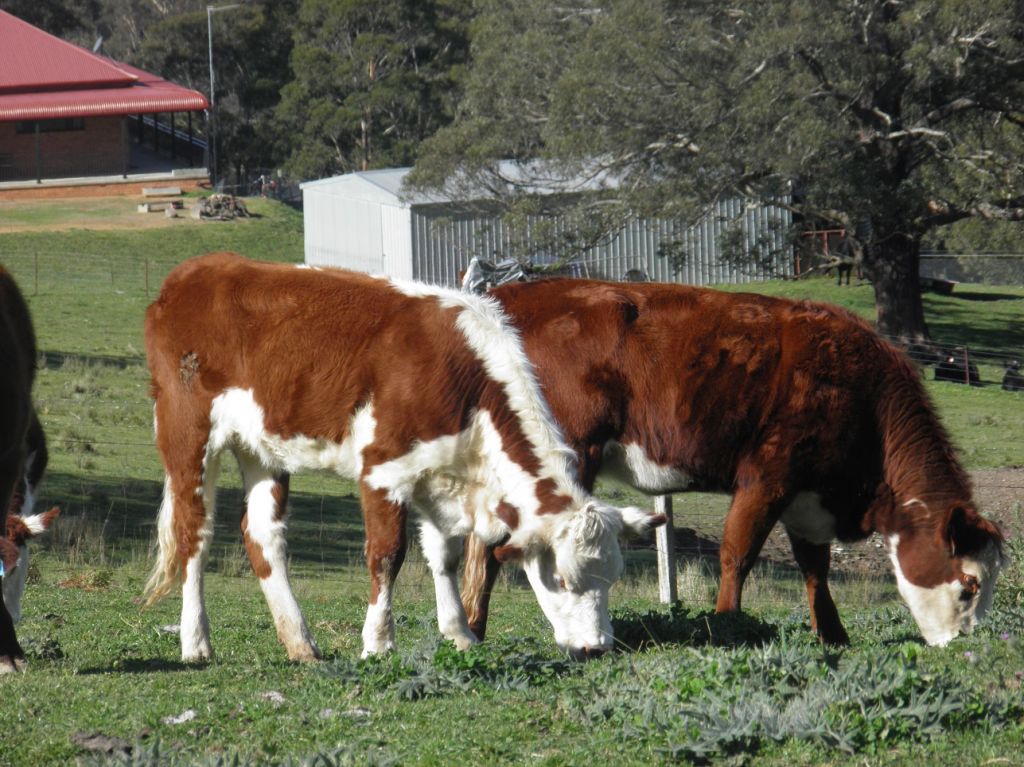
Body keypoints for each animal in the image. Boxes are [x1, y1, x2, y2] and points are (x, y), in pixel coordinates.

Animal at [140, 253, 659, 659]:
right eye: (564, 580)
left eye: (612, 577)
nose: (597, 646)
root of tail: (196, 271)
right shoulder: (383, 470)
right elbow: (388, 555)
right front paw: (378, 642)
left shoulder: (439, 474)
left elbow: (444, 556)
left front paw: (459, 634)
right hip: (187, 434)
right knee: (193, 533)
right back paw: (196, 642)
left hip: (263, 444)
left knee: (262, 534)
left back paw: (300, 643)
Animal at [462, 280, 999, 647]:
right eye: (969, 587)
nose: (966, 647)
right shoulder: (767, 477)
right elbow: (737, 554)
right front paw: (728, 625)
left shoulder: (808, 498)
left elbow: (815, 568)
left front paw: (832, 636)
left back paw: (472, 628)